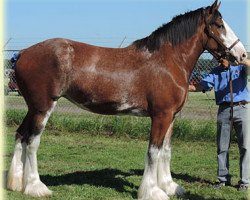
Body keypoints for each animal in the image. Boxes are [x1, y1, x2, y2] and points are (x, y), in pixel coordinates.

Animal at [6, 0, 247, 199]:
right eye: (219, 25)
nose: (242, 55)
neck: (167, 61)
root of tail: (23, 53)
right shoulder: (160, 116)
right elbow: (153, 151)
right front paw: (152, 191)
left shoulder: (171, 116)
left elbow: (166, 151)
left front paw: (170, 187)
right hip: (43, 107)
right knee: (32, 141)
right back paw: (36, 187)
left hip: (33, 107)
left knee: (20, 135)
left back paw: (16, 183)